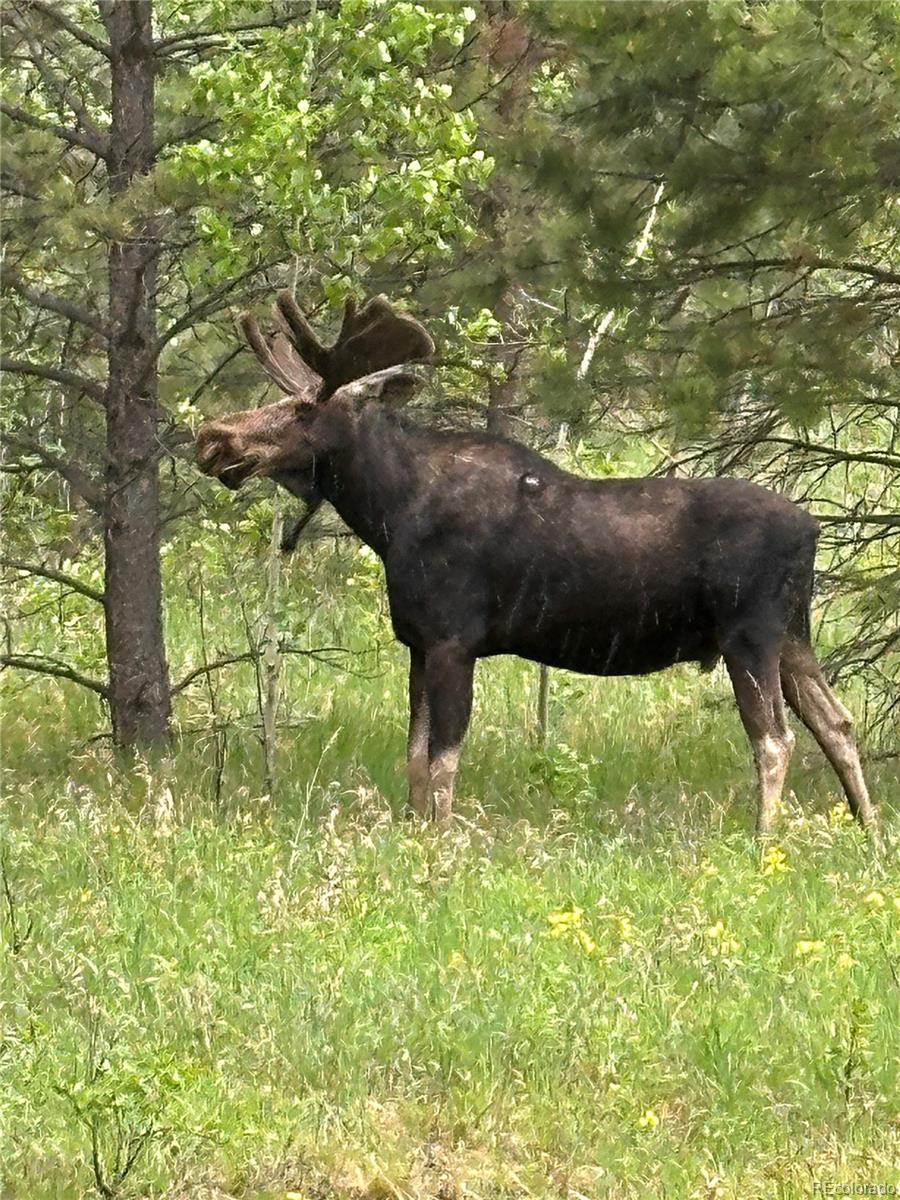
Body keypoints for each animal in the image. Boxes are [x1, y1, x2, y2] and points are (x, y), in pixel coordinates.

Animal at [195, 290, 873, 835]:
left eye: (304, 410)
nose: (213, 439)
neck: (389, 514)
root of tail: (811, 530)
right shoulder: (417, 641)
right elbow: (414, 759)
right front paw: (413, 837)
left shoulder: (454, 638)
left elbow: (442, 762)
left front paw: (440, 847)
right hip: (792, 634)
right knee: (837, 723)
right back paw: (867, 836)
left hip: (749, 634)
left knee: (776, 739)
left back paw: (764, 843)